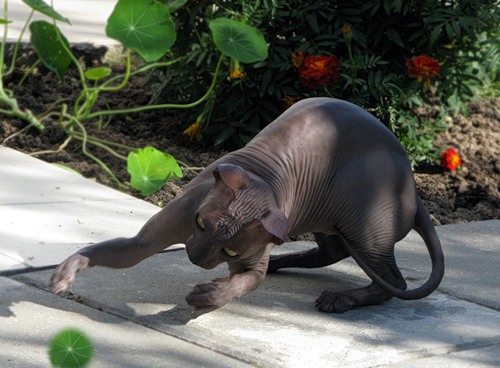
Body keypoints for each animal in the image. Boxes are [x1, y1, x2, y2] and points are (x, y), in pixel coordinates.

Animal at [51, 98, 446, 314]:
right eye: (200, 223)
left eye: (228, 248)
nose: (194, 257)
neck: (263, 177)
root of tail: (414, 187)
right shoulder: (152, 236)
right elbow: (113, 249)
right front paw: (66, 272)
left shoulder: (251, 258)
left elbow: (243, 282)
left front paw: (209, 294)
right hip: (324, 214)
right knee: (330, 251)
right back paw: (285, 264)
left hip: (361, 221)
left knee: (391, 280)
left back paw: (339, 298)